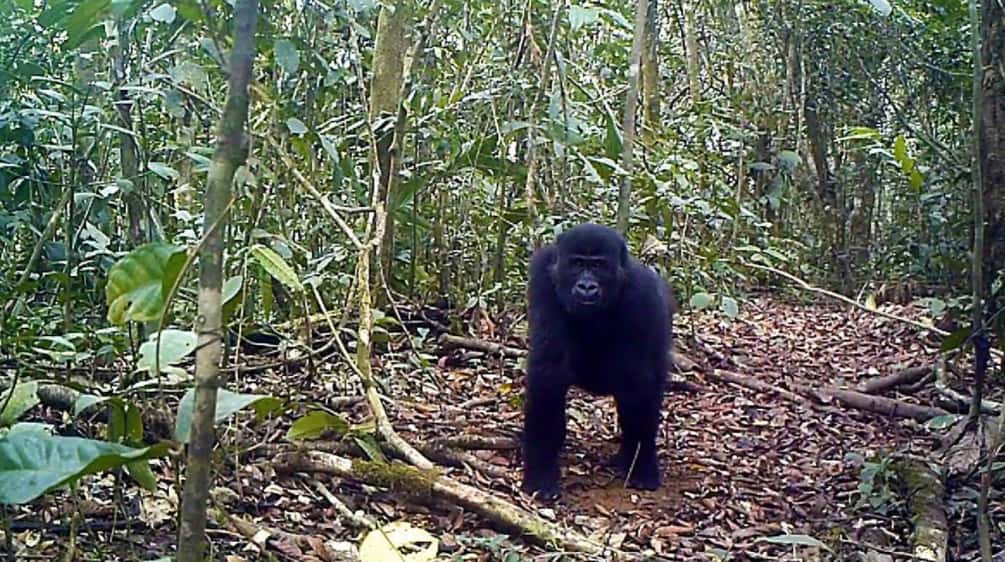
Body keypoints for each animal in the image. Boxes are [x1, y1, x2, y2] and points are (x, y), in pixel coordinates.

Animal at [518, 222, 675, 498]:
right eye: (578, 263)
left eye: (599, 266)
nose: (587, 287)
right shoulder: (543, 278)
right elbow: (549, 370)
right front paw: (541, 472)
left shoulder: (642, 294)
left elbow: (638, 382)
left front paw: (642, 465)